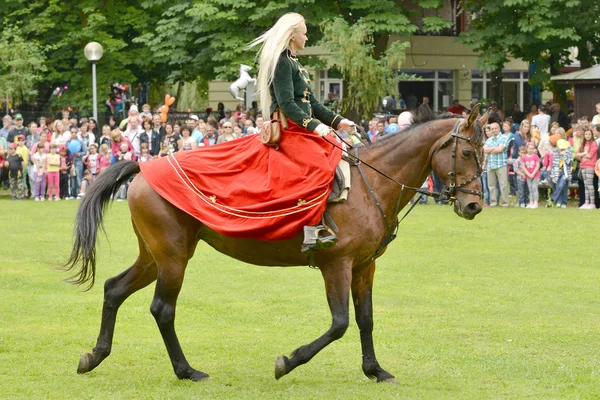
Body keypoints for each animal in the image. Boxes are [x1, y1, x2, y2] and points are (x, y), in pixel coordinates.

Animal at [67, 106, 488, 384]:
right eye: (467, 152)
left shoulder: (365, 265)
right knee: (162, 309)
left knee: (114, 289)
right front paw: (289, 361)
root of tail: (144, 165)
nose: (473, 206)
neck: (372, 183)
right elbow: (339, 323)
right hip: (173, 258)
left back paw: (95, 355)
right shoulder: (337, 265)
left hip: (154, 257)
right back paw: (186, 370)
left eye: (484, 154)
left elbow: (366, 318)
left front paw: (374, 370)